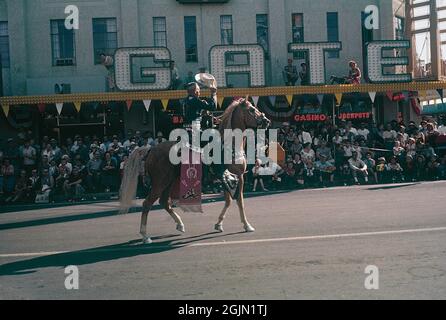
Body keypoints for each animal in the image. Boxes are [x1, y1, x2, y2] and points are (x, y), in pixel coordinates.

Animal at [119, 99, 272, 244]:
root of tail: (151, 149)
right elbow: (240, 201)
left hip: (169, 181)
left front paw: (219, 224)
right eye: (251, 109)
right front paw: (247, 225)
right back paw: (145, 236)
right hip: (160, 182)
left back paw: (180, 225)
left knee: (164, 202)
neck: (230, 146)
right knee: (147, 204)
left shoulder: (226, 179)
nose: (266, 120)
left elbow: (228, 201)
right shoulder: (238, 177)